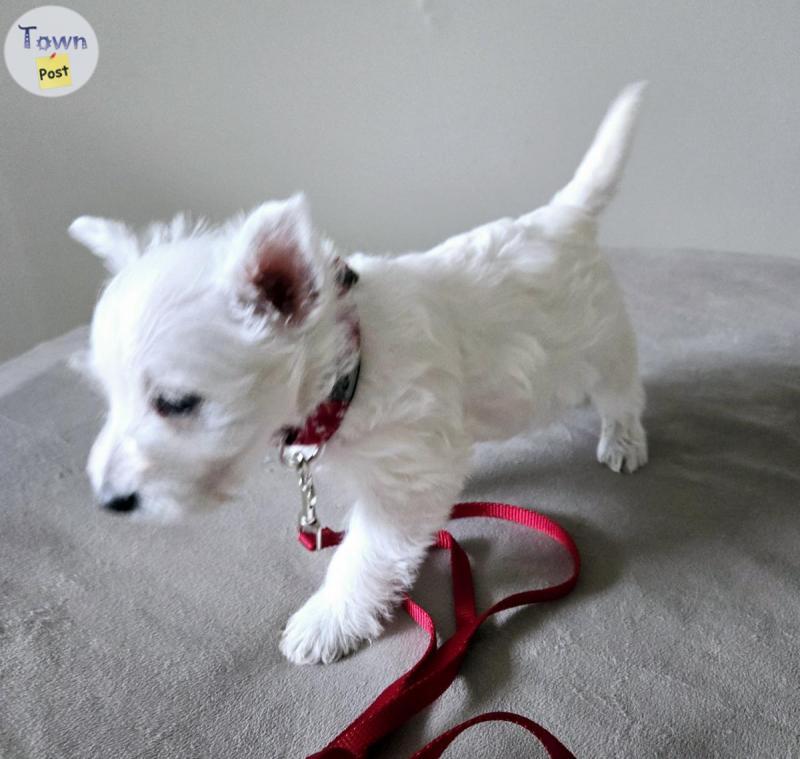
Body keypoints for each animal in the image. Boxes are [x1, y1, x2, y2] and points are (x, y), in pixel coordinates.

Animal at [72, 81, 648, 664]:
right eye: (110, 398)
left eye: (176, 403)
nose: (109, 501)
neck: (352, 364)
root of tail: (566, 214)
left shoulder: (405, 479)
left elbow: (364, 556)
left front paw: (328, 620)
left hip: (604, 345)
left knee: (623, 391)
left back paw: (624, 441)